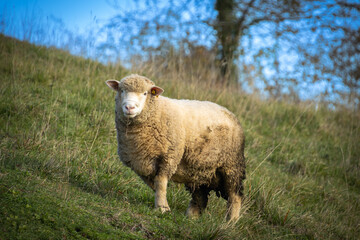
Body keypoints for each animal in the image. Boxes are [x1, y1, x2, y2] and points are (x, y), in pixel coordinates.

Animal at [105, 74, 246, 221]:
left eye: (145, 93)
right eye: (121, 90)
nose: (129, 107)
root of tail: (230, 113)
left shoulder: (169, 157)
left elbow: (160, 183)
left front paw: (162, 208)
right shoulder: (139, 164)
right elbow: (154, 185)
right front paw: (163, 204)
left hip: (232, 165)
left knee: (235, 195)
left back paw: (231, 220)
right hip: (198, 169)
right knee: (200, 194)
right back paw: (192, 216)